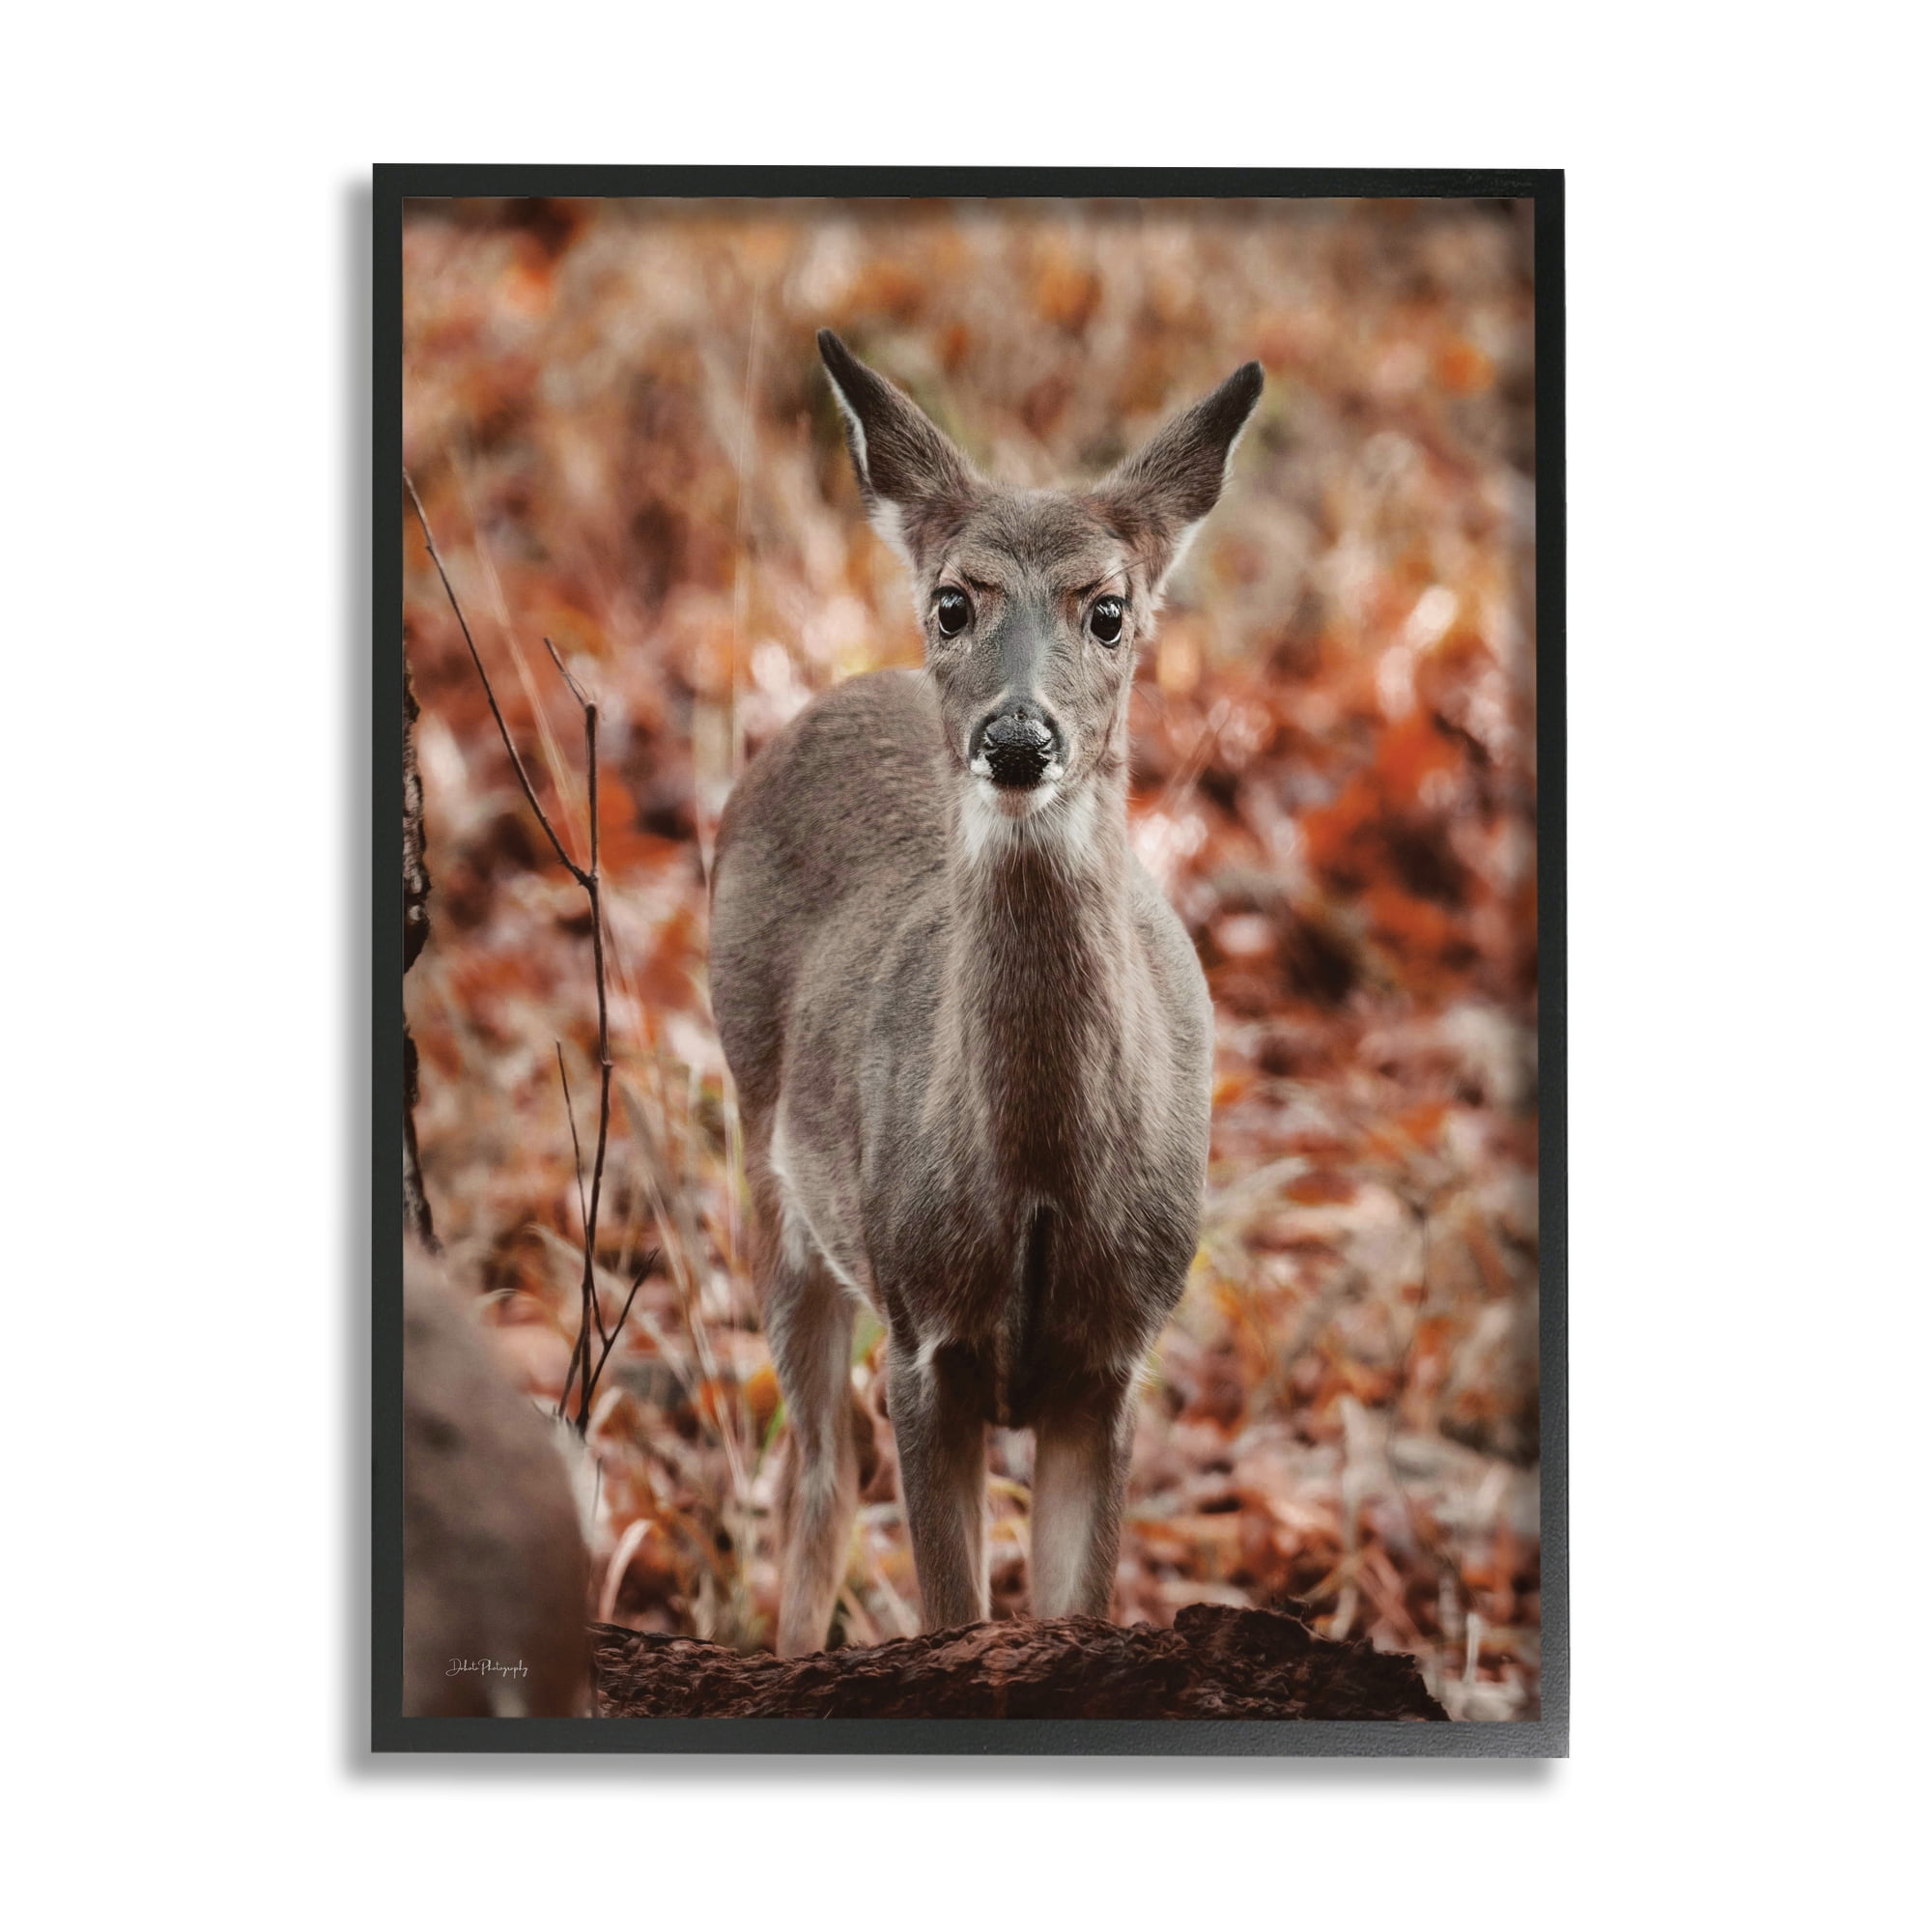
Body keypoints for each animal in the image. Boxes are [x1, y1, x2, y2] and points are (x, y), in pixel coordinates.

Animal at [710, 330, 1262, 1656]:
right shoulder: (925, 1335)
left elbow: (1076, 1603)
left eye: (1108, 609)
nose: (1018, 738)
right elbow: (950, 1608)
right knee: (816, 1470)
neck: (1038, 1178)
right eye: (953, 601)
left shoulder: (1114, 1359)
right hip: (773, 1173)